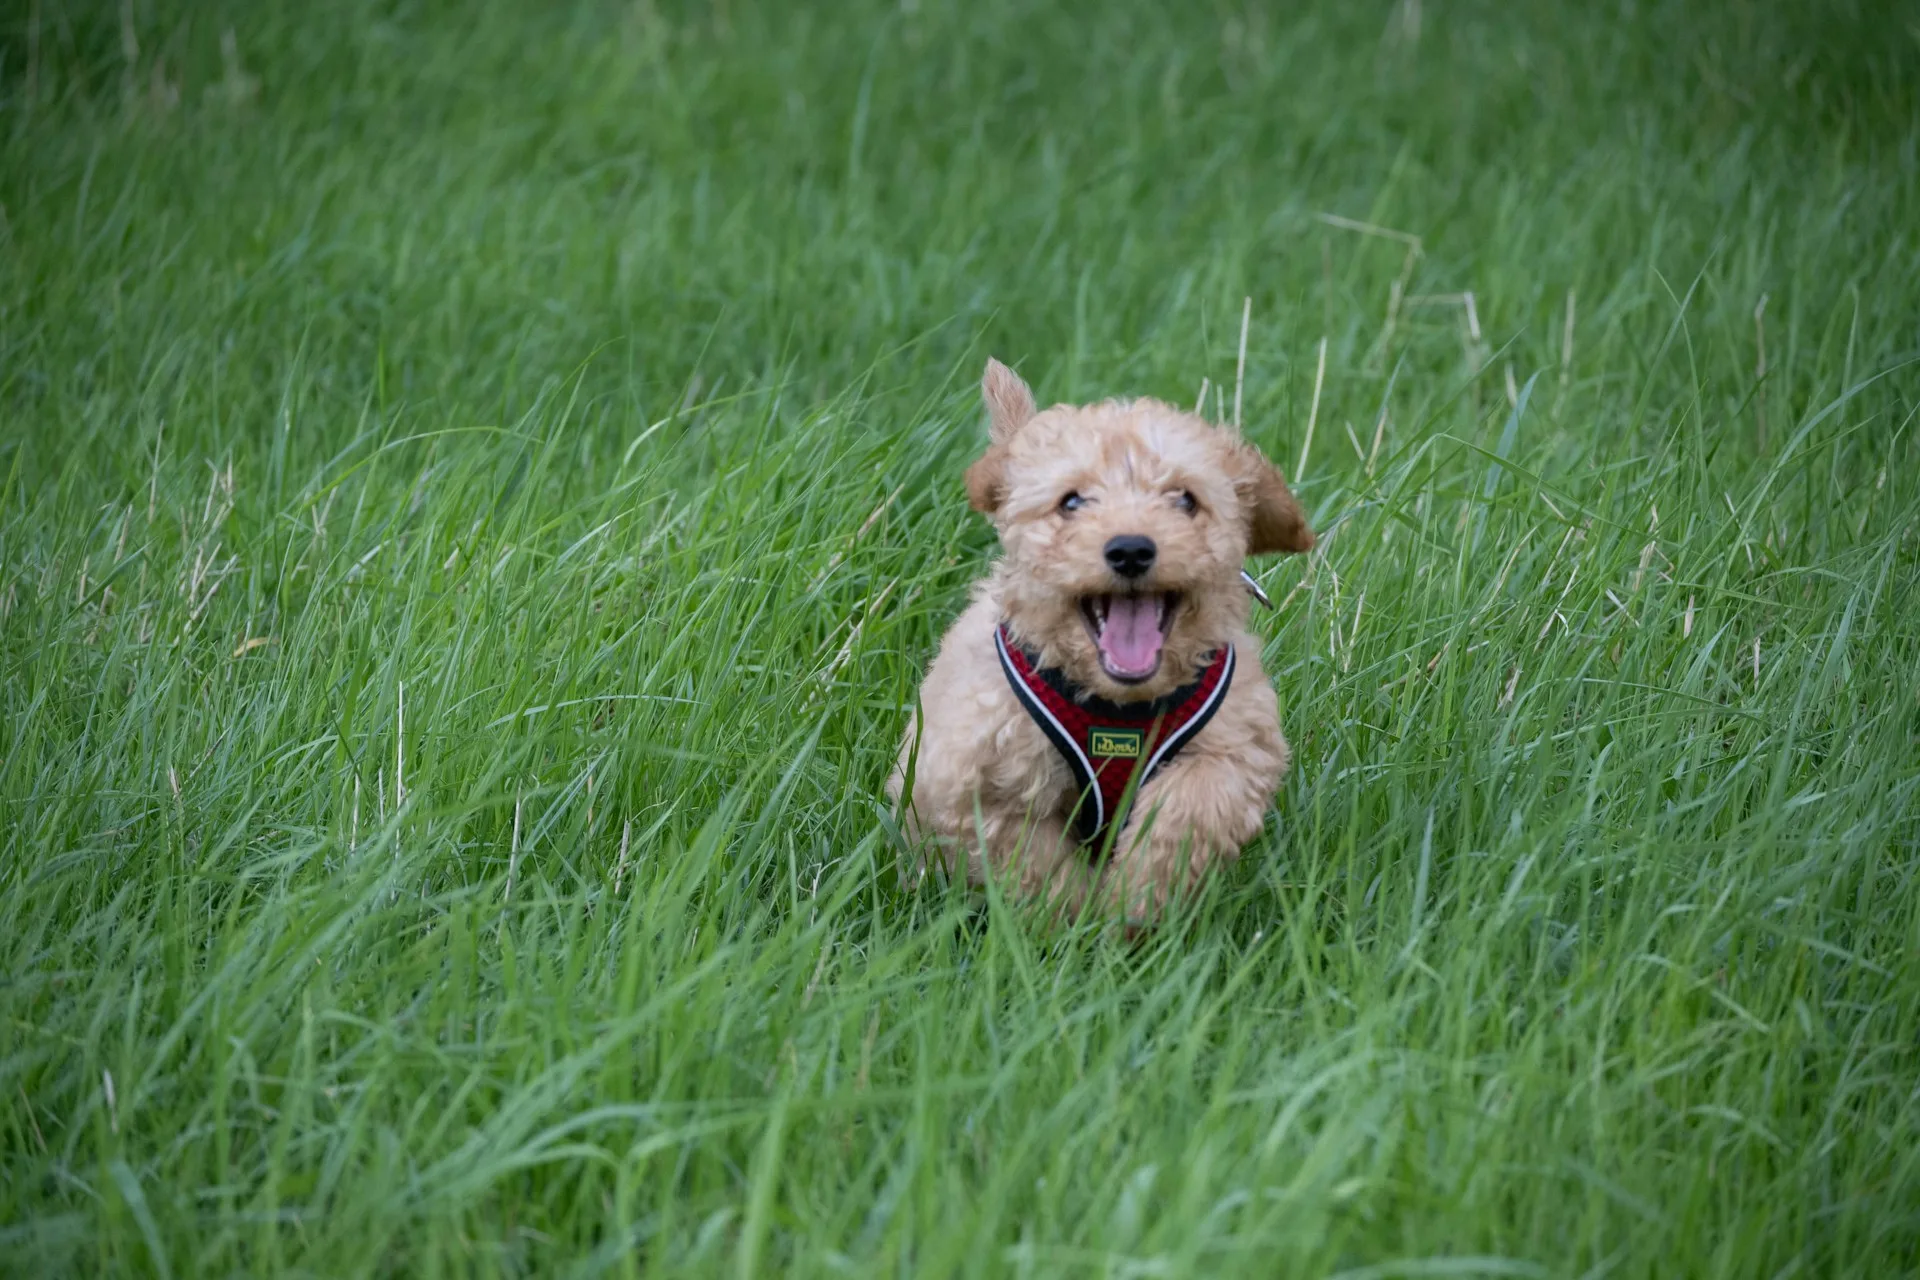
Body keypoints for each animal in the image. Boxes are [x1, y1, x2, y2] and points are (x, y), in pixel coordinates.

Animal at [887, 358, 1313, 921]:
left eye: (1185, 499)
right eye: (1071, 501)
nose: (1130, 549)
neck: (1119, 706)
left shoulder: (1233, 746)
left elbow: (1190, 809)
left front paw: (1137, 900)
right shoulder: (976, 779)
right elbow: (1034, 863)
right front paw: (1078, 920)